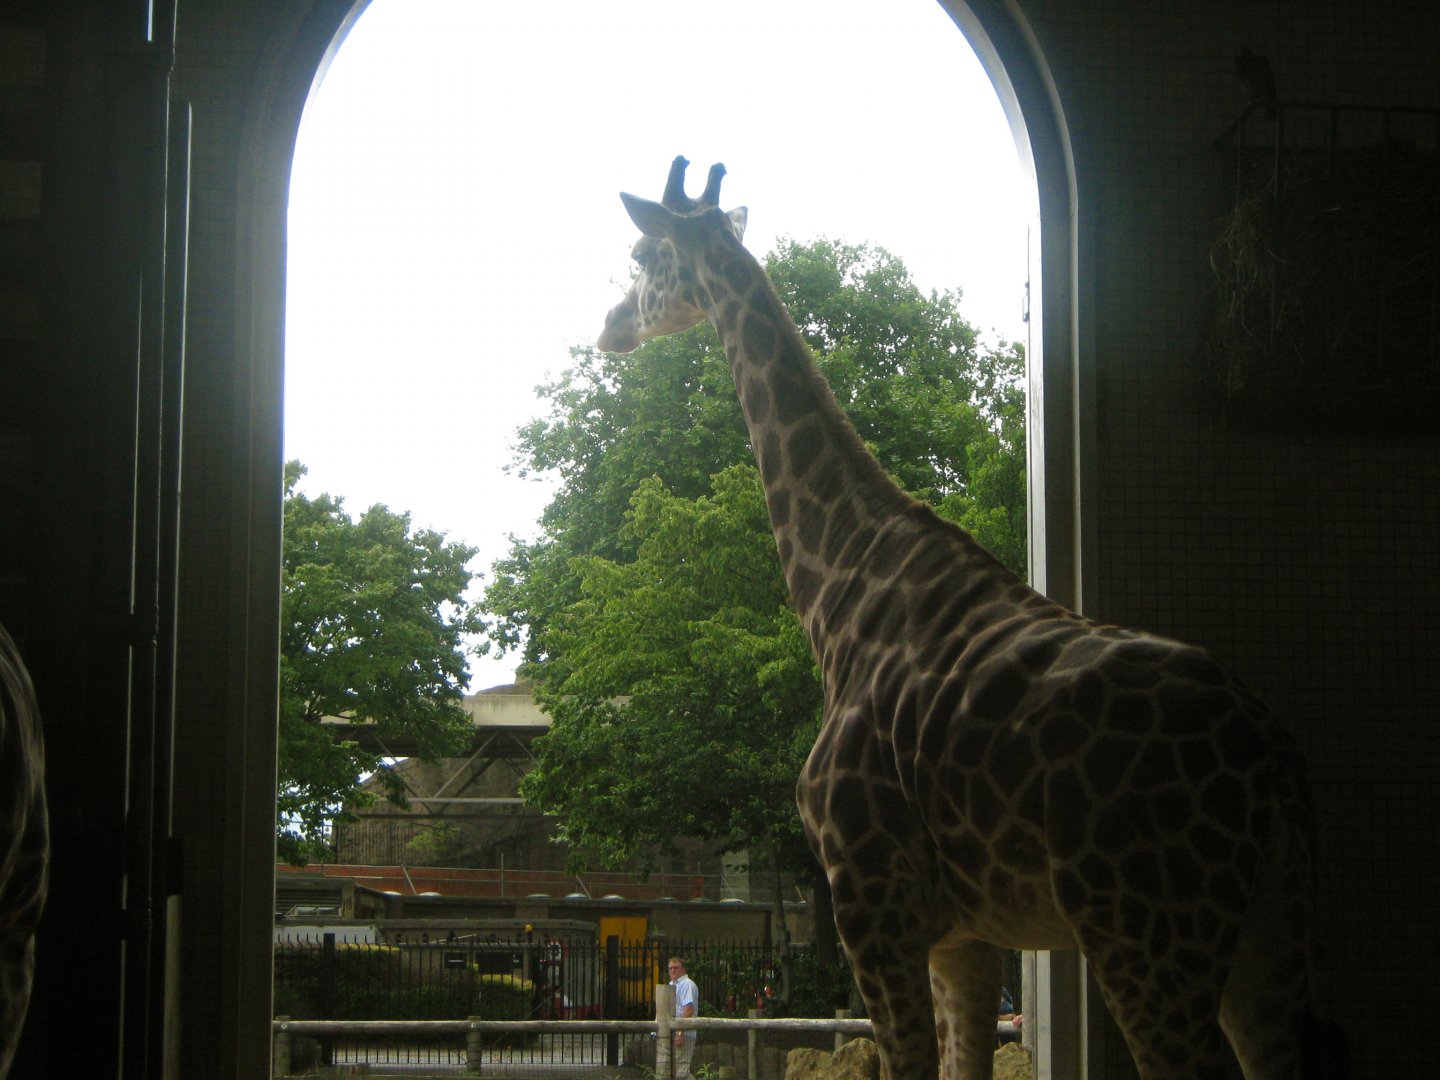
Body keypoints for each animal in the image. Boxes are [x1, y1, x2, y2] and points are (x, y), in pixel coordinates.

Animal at [597, 158, 1326, 1080]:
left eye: (643, 255)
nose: (609, 326)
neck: (838, 591)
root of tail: (1272, 759)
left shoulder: (872, 903)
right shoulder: (964, 934)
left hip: (1146, 931)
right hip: (1271, 924)